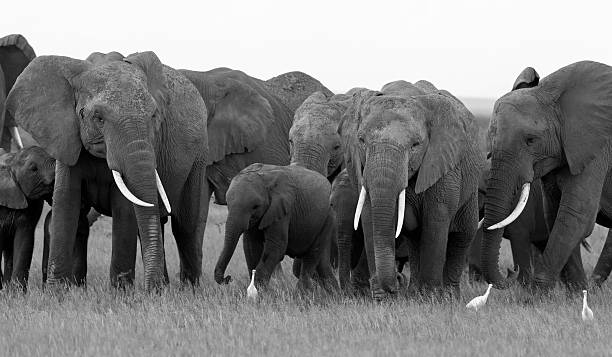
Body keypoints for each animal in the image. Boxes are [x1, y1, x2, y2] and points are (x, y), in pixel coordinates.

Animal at [214, 164, 340, 292]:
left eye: (255, 206)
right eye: (228, 204)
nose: (228, 278)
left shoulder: (282, 210)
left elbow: (275, 247)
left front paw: (260, 294)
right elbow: (251, 246)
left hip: (327, 218)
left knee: (311, 257)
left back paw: (301, 294)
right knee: (322, 264)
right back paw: (334, 294)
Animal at [340, 80, 482, 298]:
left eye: (415, 145)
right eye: (361, 141)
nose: (397, 282)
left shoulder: (444, 166)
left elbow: (436, 219)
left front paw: (432, 298)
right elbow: (370, 216)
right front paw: (382, 298)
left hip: (470, 186)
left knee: (462, 235)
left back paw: (448, 296)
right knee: (416, 239)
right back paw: (415, 293)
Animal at [480, 61, 612, 290]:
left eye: (531, 140)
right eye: (491, 138)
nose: (511, 273)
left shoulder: (594, 146)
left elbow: (577, 213)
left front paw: (535, 293)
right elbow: (554, 210)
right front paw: (578, 292)